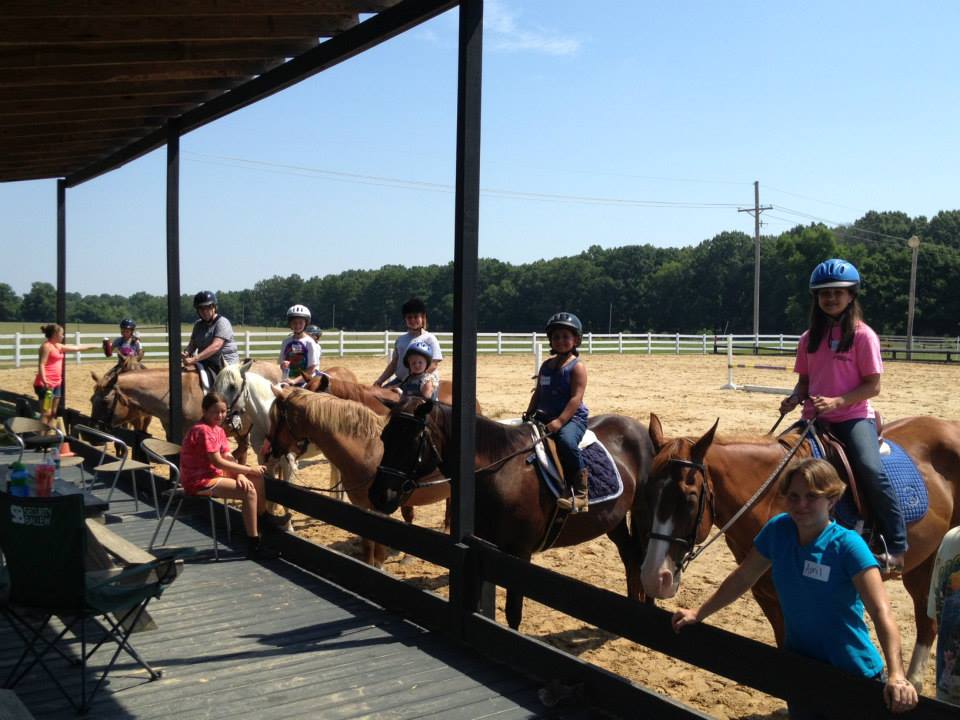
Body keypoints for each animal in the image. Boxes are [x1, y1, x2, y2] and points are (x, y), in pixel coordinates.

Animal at [264, 386, 452, 572]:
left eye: (277, 418)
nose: (270, 450)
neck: (367, 451)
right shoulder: (362, 507)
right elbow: (368, 545)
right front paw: (369, 564)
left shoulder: (380, 508)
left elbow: (379, 545)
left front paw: (379, 566)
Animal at [368, 396, 652, 628]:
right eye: (384, 437)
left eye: (412, 440)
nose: (379, 495)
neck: (499, 470)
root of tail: (637, 428)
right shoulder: (482, 547)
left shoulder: (519, 553)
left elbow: (513, 611)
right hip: (614, 520)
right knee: (630, 555)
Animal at [636, 410, 960, 688]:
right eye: (647, 493)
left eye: (689, 499)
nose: (654, 577)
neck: (771, 498)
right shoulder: (767, 595)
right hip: (923, 564)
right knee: (927, 622)